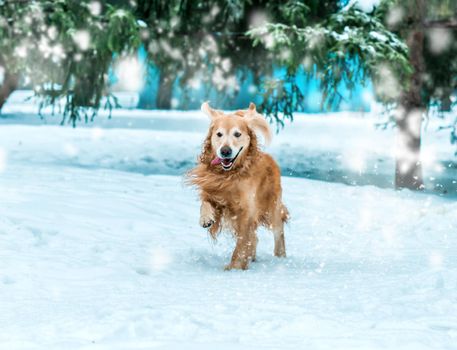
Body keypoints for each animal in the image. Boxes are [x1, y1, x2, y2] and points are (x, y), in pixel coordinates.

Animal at [186, 101, 288, 270]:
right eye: (219, 134)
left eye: (237, 134)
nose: (225, 151)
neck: (231, 175)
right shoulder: (215, 191)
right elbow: (205, 202)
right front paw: (206, 219)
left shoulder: (247, 210)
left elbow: (242, 242)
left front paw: (235, 266)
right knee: (255, 238)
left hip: (272, 208)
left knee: (278, 232)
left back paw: (280, 258)